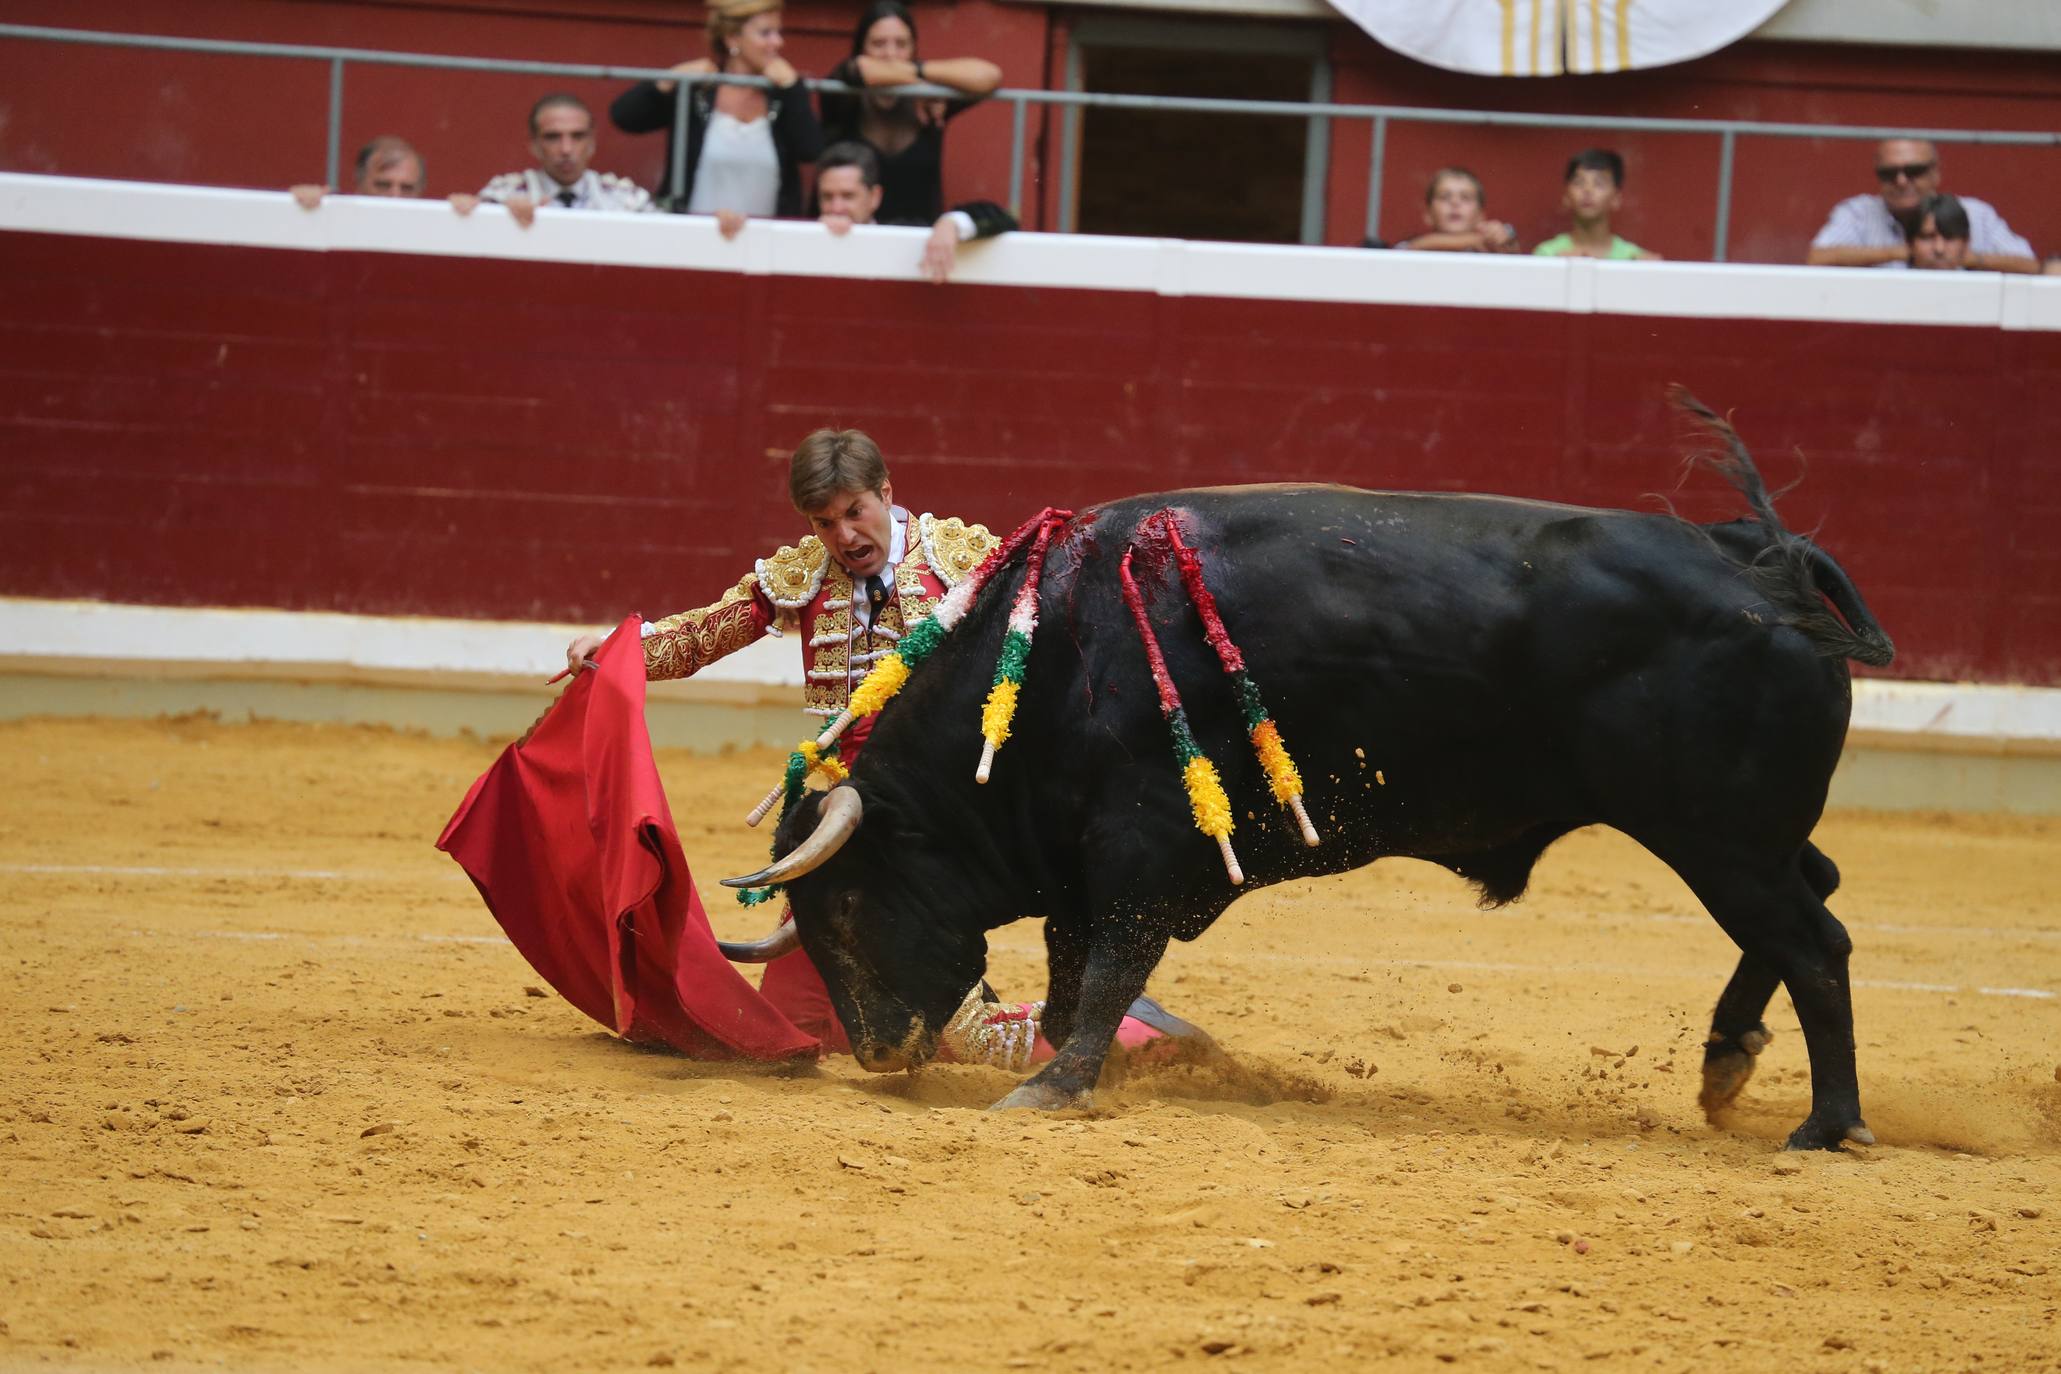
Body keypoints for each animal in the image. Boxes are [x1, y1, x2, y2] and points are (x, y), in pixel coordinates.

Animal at [725, 397, 1896, 1153]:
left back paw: (1827, 1123)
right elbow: (1073, 980)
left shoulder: (1140, 848)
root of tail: (1752, 555)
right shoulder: (1078, 864)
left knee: (1815, 942)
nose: (877, 1053)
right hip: (1745, 836)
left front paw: (1053, 1091)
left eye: (847, 906)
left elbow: (1105, 974)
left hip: (1716, 833)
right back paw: (1727, 1060)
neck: (1054, 656)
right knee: (1811, 902)